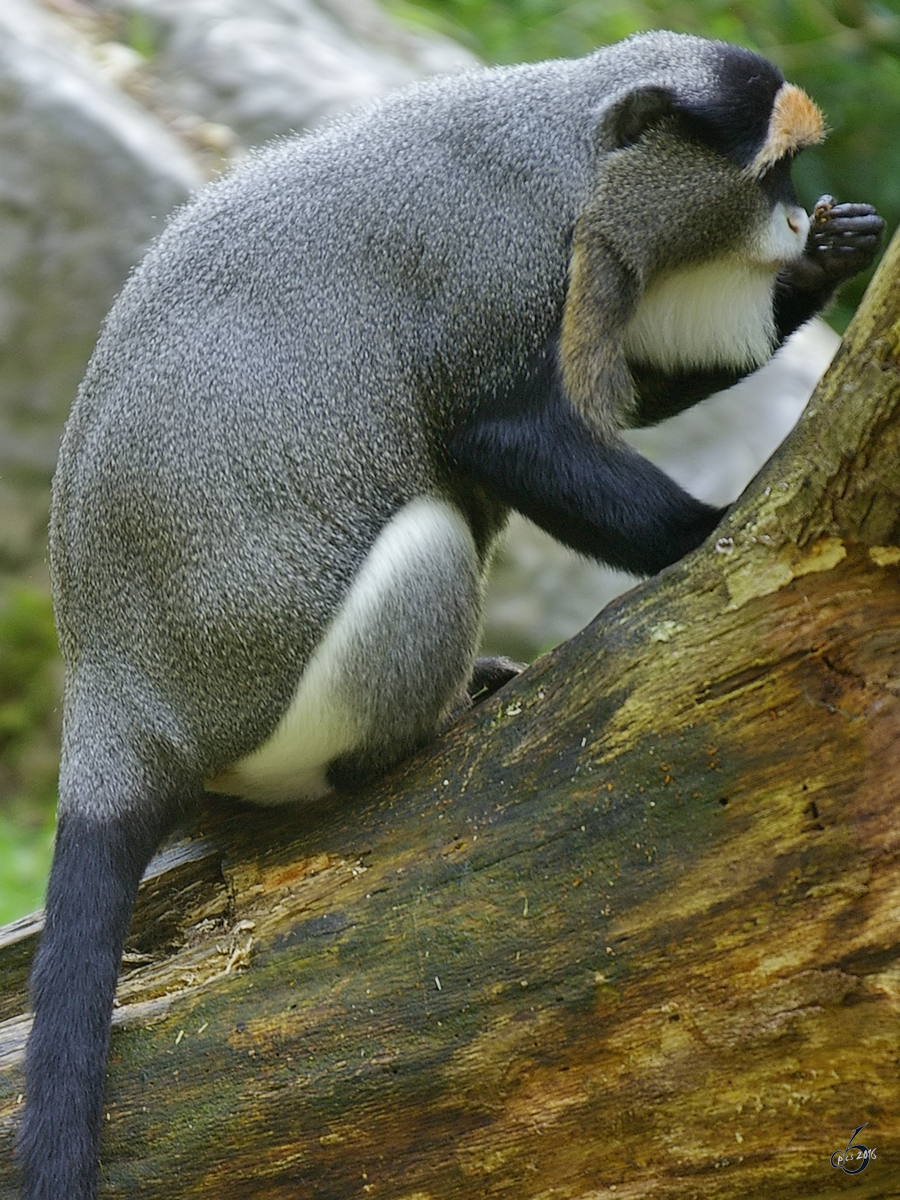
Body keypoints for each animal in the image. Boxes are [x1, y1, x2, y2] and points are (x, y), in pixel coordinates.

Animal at [17, 28, 883, 1200]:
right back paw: (414, 734)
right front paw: (714, 528)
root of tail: (121, 708)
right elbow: (507, 431)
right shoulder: (502, 273)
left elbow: (634, 387)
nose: (795, 224)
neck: (570, 144)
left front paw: (835, 258)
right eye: (768, 175)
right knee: (426, 540)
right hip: (287, 714)